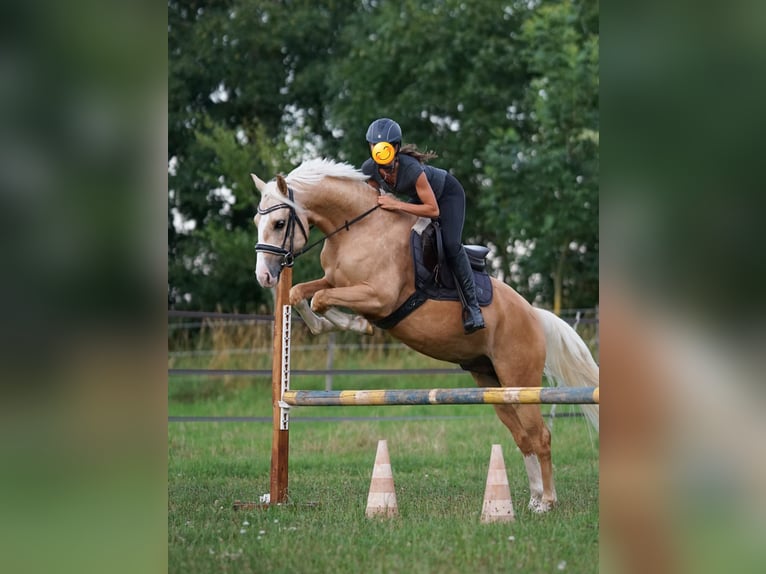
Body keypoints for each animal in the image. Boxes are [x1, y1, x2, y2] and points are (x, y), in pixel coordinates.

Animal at [252, 159, 600, 516]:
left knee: (540, 435)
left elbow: (321, 300)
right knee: (523, 436)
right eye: (257, 222)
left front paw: (358, 325)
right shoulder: (335, 281)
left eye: (279, 223)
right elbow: (299, 293)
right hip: (495, 384)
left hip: (520, 377)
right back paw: (532, 499)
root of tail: (534, 314)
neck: (358, 230)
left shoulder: (379, 297)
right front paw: (334, 324)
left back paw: (547, 502)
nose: (264, 276)